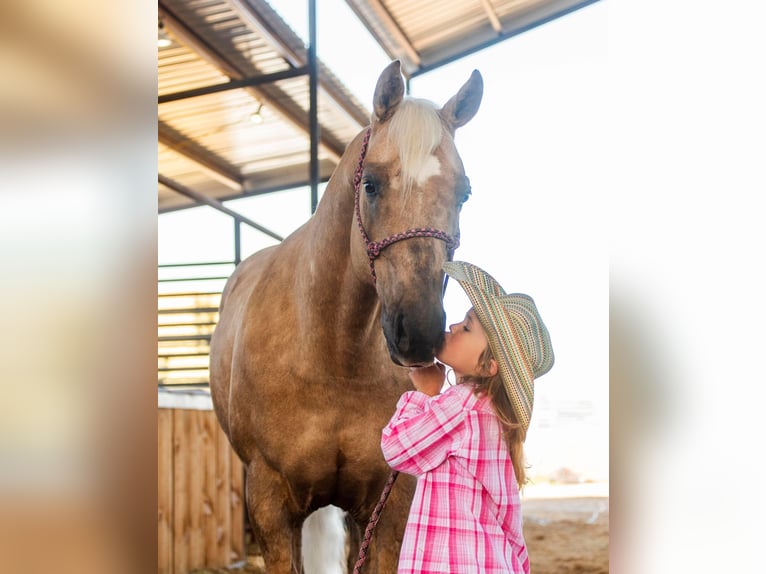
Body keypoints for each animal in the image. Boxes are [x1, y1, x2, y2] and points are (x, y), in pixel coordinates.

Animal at [208, 60, 486, 572]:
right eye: (370, 184)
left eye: (464, 194)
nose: (418, 333)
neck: (332, 356)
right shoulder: (270, 505)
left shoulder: (386, 506)